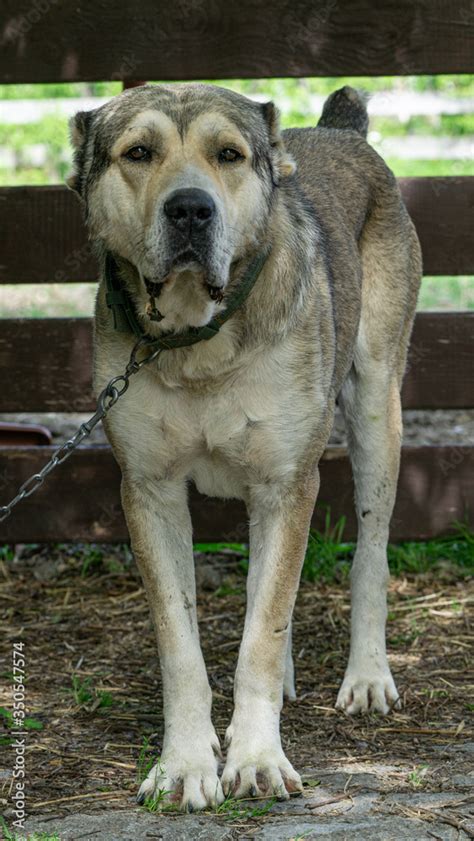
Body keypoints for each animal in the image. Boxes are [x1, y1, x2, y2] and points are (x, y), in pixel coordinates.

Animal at [67, 83, 422, 808]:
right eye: (138, 153)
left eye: (228, 155)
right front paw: (184, 764)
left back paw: (368, 675)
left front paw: (257, 758)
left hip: (377, 405)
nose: (190, 209)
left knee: (368, 552)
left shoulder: (287, 481)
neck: (195, 338)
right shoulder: (149, 490)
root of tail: (339, 130)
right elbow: (182, 641)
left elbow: (261, 632)